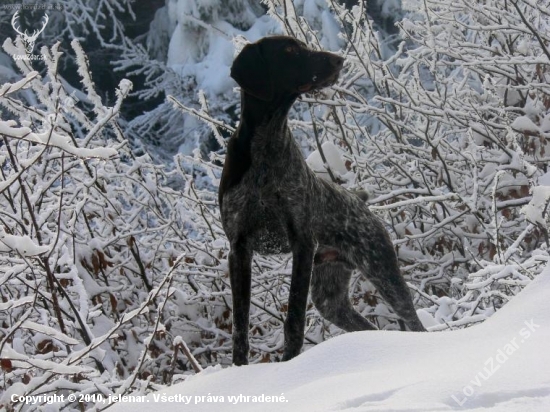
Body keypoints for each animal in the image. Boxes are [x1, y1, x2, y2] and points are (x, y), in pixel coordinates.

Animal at [220, 35, 426, 364]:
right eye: (289, 50)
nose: (339, 59)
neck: (267, 144)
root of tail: (359, 200)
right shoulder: (238, 248)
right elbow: (240, 326)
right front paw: (240, 369)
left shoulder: (302, 242)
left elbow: (293, 318)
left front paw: (289, 363)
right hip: (330, 298)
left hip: (383, 272)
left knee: (413, 322)